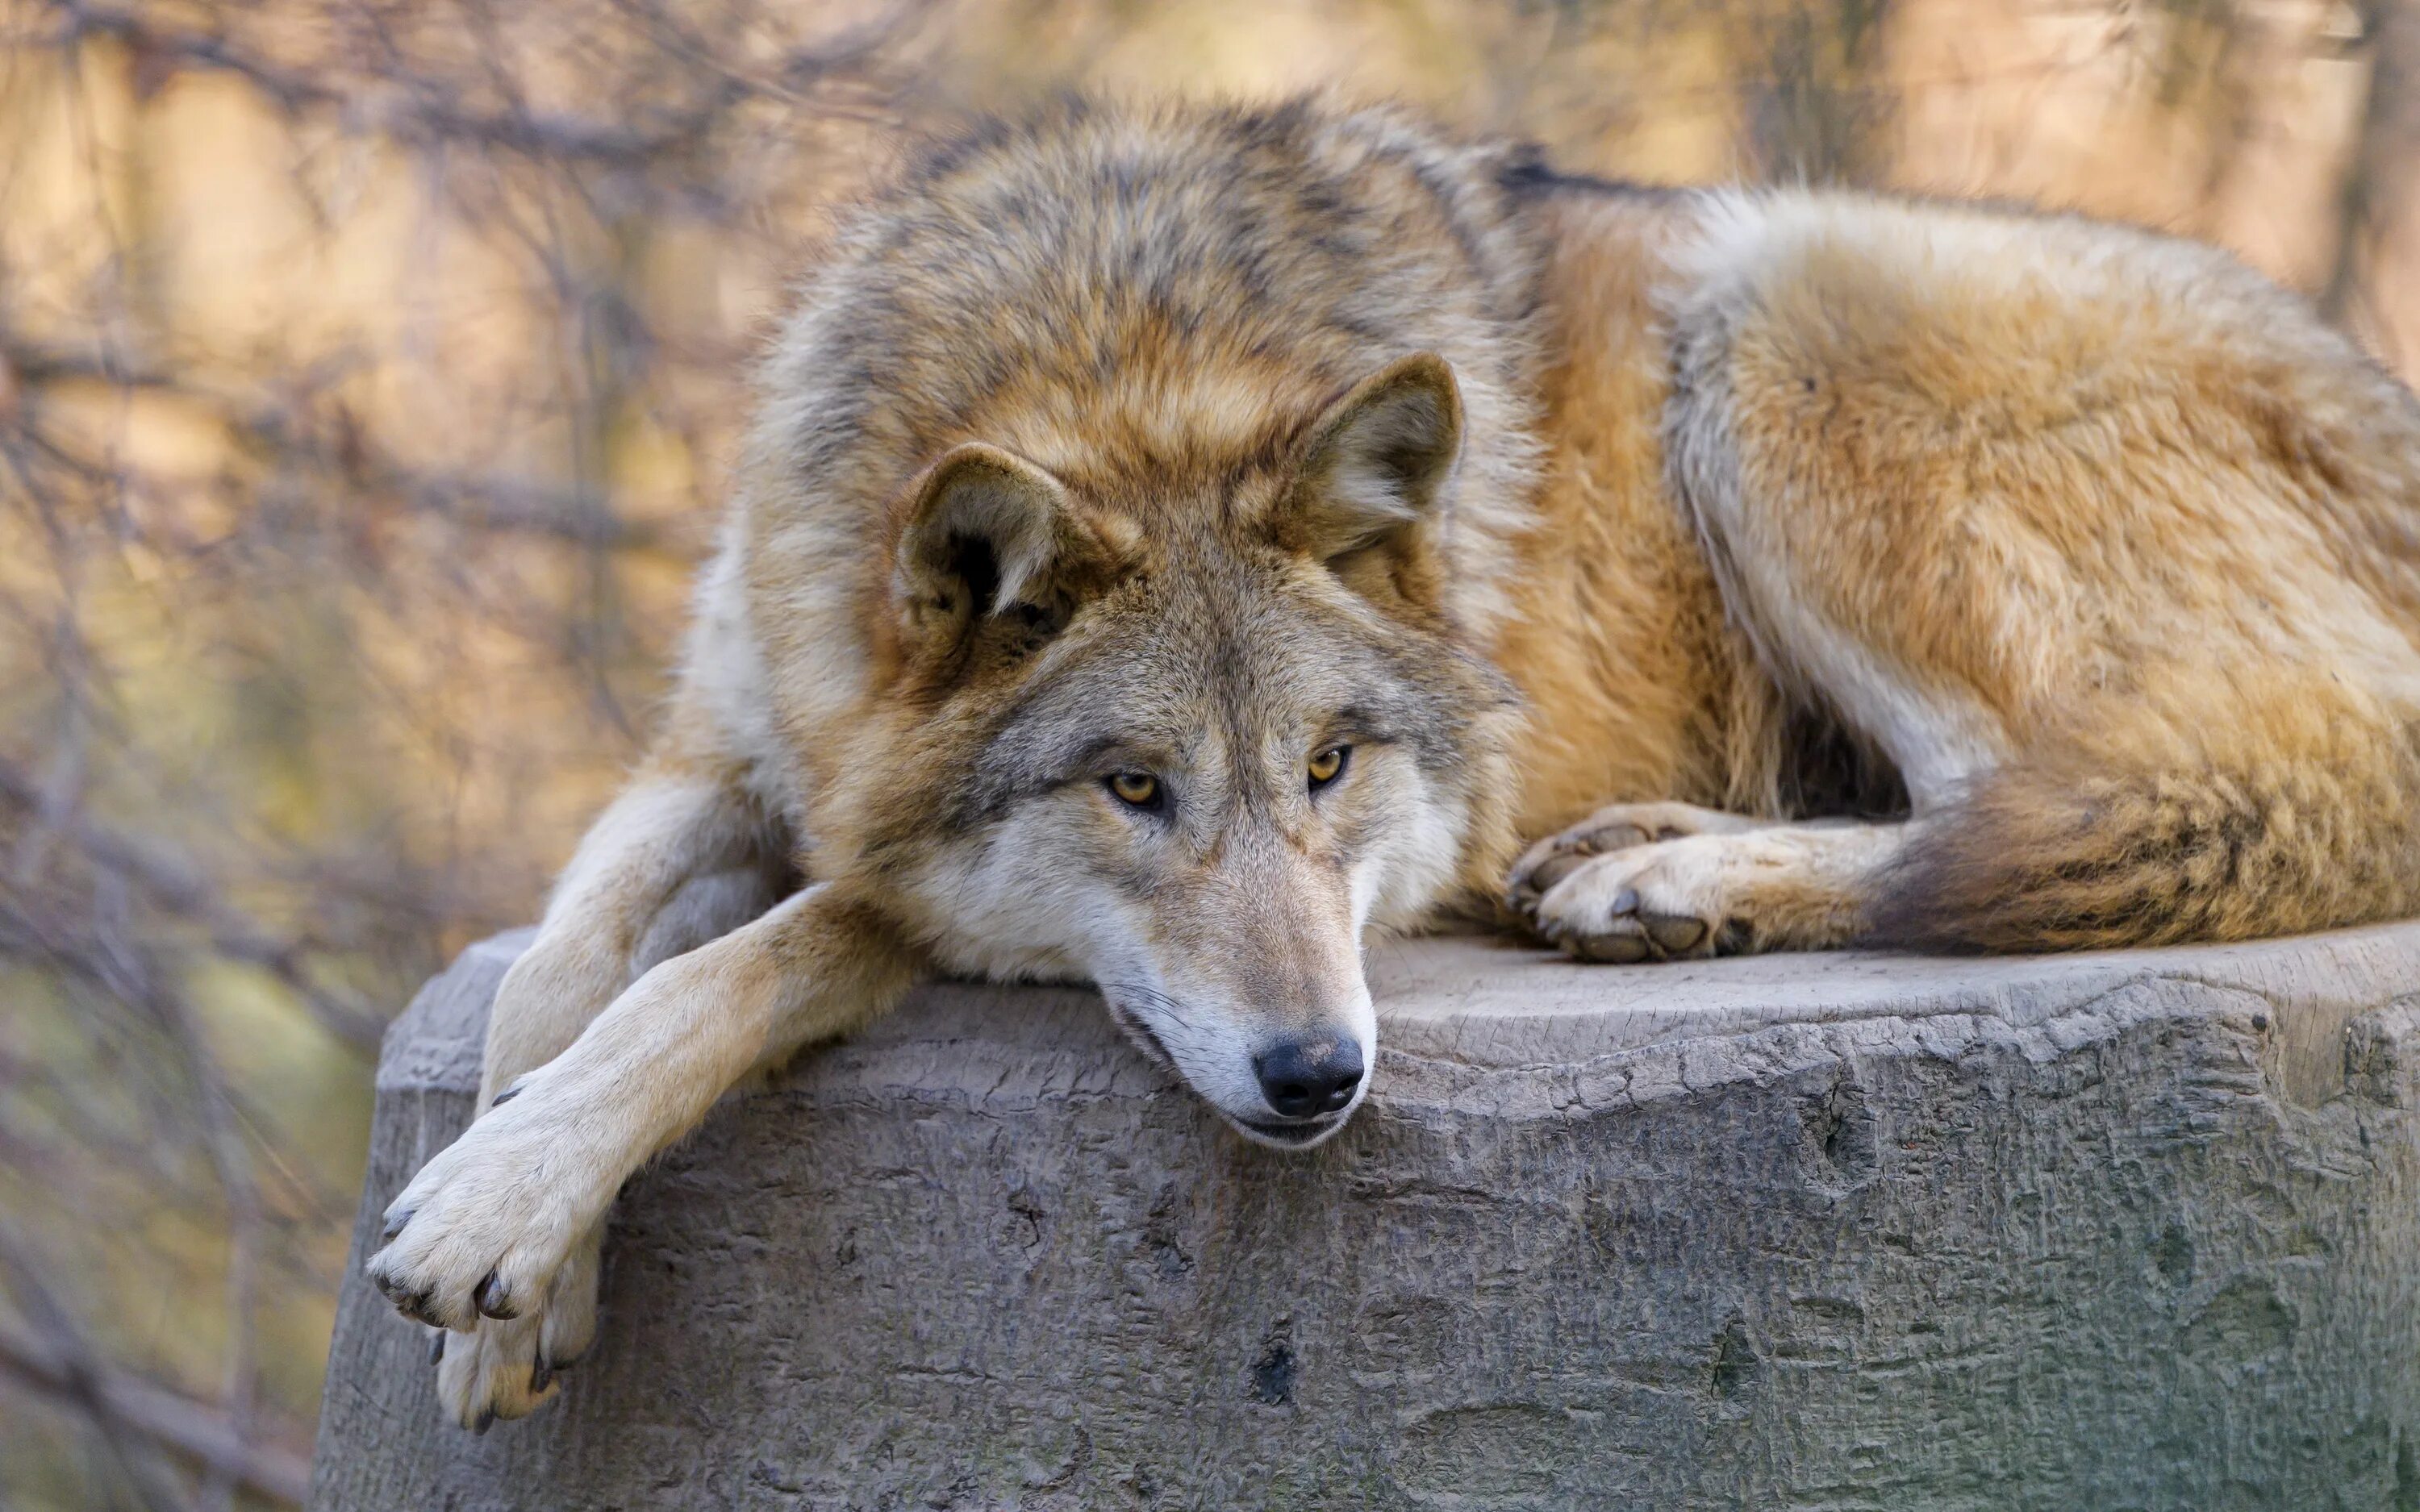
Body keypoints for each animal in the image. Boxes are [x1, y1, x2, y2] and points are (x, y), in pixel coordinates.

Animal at [368, 100, 2420, 1422]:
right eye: (1134, 788)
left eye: (1332, 762)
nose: (1318, 1073)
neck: (1119, 365)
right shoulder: (727, 738)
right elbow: (562, 961)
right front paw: (509, 1255)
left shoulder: (896, 884)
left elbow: (736, 961)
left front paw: (502, 1210)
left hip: (1777, 304)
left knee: (2035, 803)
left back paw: (1662, 880)